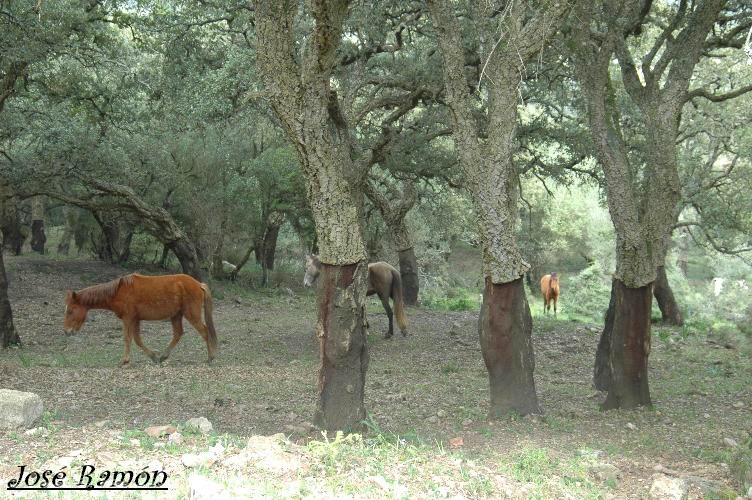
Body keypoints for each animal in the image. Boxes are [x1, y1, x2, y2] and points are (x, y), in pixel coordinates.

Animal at [64, 276, 217, 366]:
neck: (118, 291)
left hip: (191, 314)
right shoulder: (135, 320)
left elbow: (127, 338)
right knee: (178, 334)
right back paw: (163, 356)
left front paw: (125, 360)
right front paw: (153, 356)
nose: (67, 331)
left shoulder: (128, 318)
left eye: (70, 310)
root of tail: (198, 284)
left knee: (205, 332)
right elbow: (137, 339)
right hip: (176, 316)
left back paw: (210, 357)